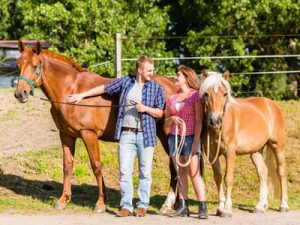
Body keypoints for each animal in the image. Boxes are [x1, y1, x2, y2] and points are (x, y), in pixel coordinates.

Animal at [14, 40, 178, 213]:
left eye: (35, 66)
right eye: (18, 65)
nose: (20, 94)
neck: (71, 91)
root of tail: (174, 84)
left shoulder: (89, 134)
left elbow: (96, 166)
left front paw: (100, 203)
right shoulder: (66, 135)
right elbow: (67, 166)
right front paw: (63, 200)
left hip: (168, 137)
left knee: (175, 166)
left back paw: (167, 205)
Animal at [199, 71, 288, 217]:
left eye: (225, 94)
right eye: (206, 94)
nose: (215, 121)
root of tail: (271, 105)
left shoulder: (230, 152)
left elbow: (228, 178)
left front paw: (227, 209)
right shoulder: (212, 155)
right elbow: (218, 178)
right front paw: (220, 208)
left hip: (277, 146)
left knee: (281, 172)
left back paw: (284, 205)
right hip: (256, 152)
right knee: (263, 172)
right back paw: (260, 206)